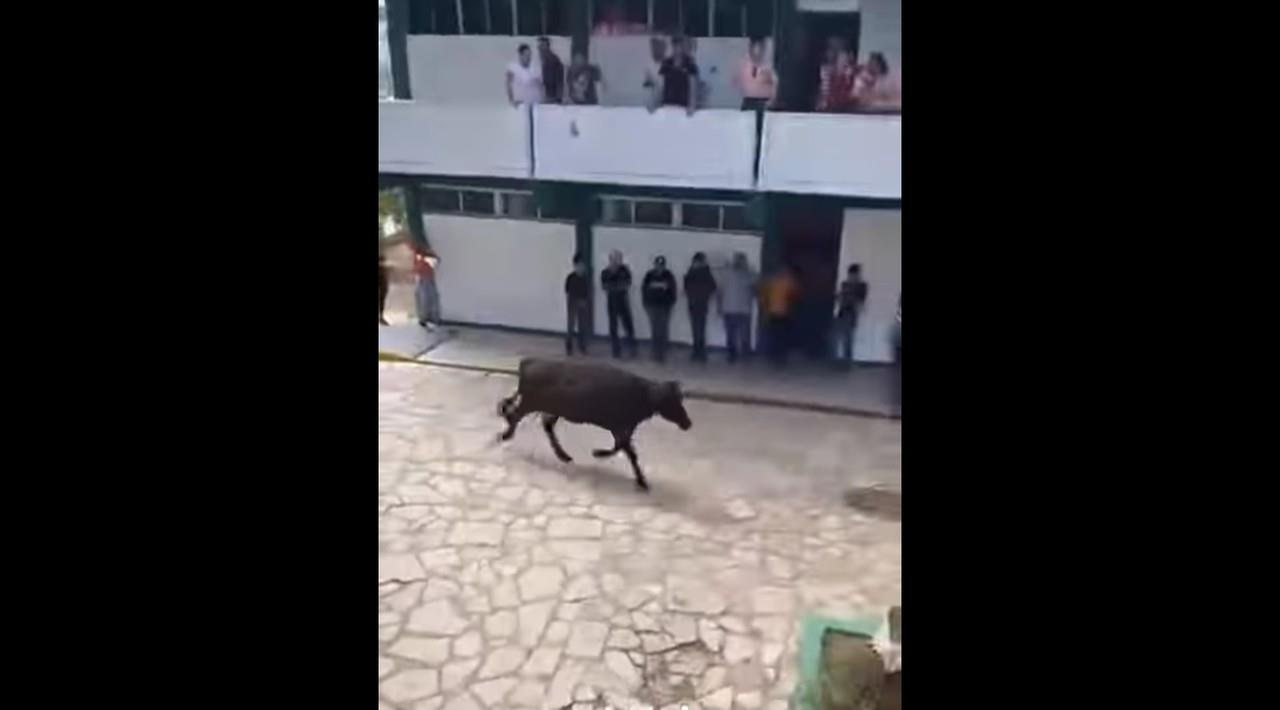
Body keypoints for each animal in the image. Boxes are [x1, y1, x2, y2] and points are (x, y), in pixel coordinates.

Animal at [494, 358, 691, 491]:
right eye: (672, 401)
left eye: (680, 399)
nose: (688, 423)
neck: (642, 394)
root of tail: (529, 362)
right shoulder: (621, 427)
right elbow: (626, 451)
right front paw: (599, 453)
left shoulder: (623, 429)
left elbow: (626, 450)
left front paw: (641, 480)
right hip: (531, 402)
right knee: (515, 416)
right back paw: (505, 435)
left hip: (552, 408)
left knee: (545, 424)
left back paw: (563, 455)